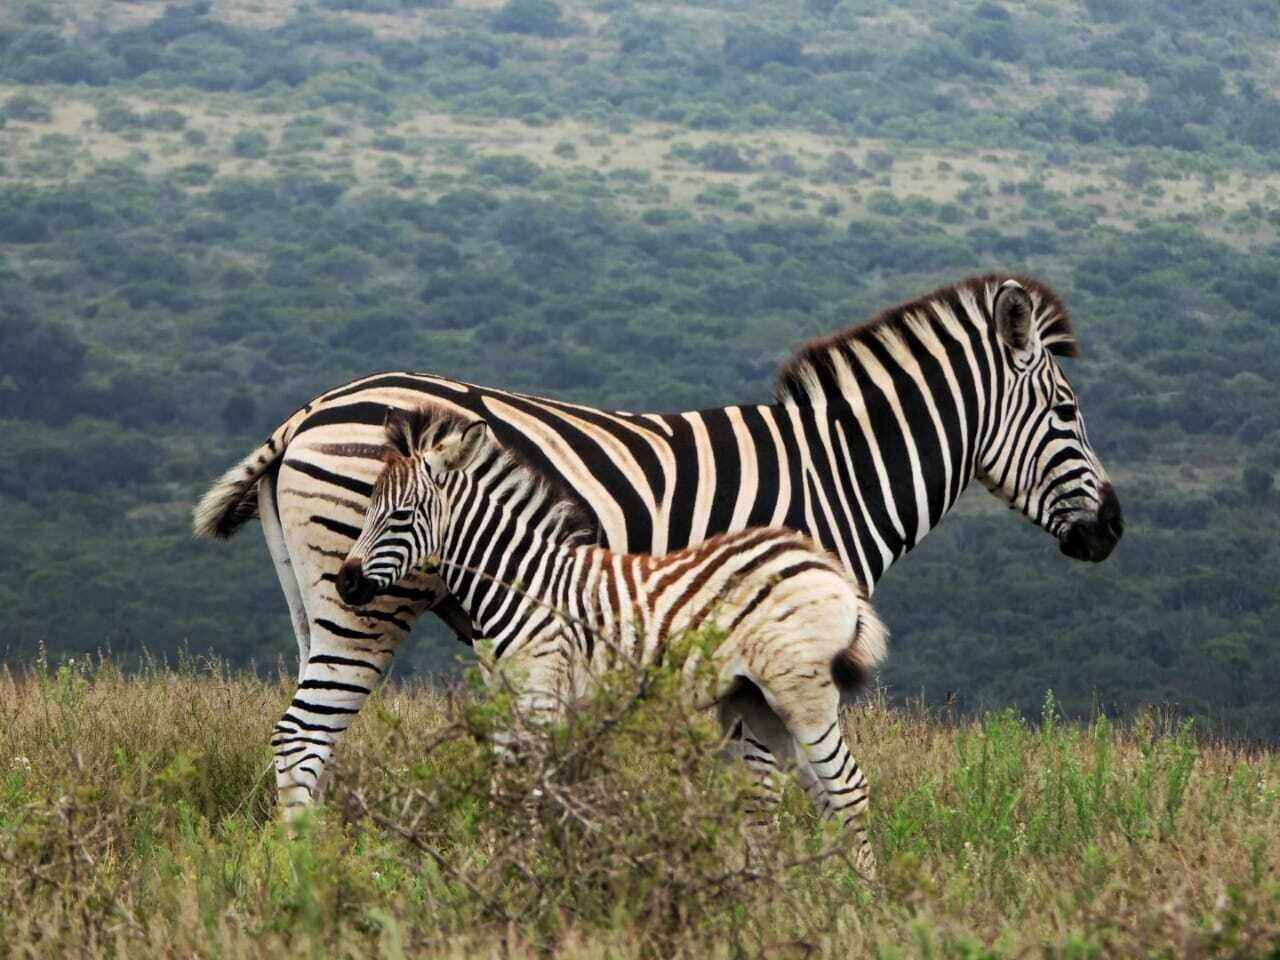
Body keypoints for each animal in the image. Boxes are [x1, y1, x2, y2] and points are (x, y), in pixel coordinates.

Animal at [194, 272, 1121, 811]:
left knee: (303, 735)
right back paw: (306, 874)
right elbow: (771, 786)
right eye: (1069, 412)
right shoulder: (771, 643)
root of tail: (311, 411)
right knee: (303, 737)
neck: (836, 474)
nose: (1112, 530)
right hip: (365, 601)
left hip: (318, 596)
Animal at [317, 406, 888, 877]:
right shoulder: (510, 698)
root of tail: (826, 566)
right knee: (820, 792)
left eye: (400, 516)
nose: (345, 584)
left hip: (803, 692)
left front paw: (525, 872)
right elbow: (503, 785)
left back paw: (862, 896)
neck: (526, 583)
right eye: (367, 511)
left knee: (848, 785)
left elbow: (533, 788)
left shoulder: (543, 694)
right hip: (759, 698)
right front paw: (496, 862)